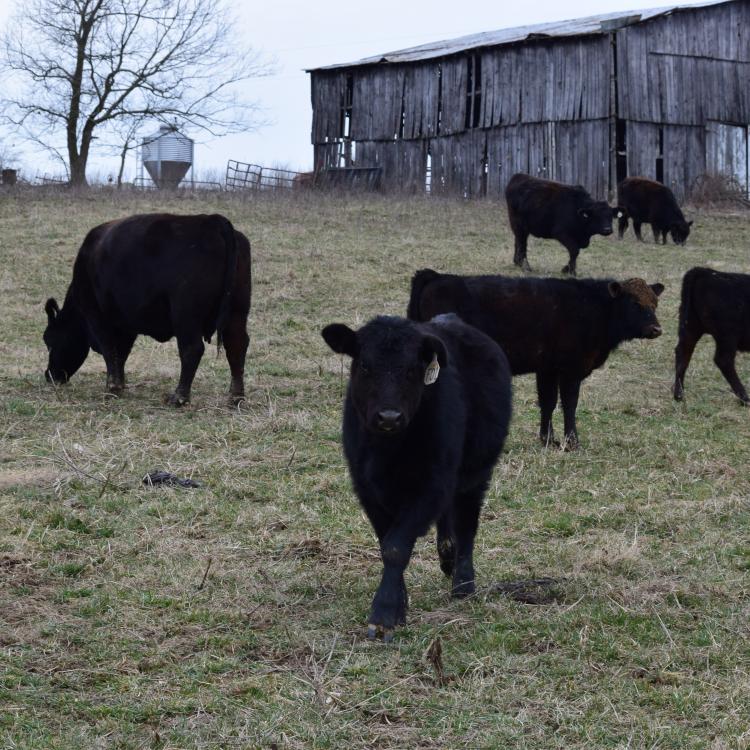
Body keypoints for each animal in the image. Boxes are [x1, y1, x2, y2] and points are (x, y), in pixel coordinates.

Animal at [44, 213, 253, 406]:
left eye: (49, 340)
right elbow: (121, 353)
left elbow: (109, 349)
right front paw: (120, 384)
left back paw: (179, 397)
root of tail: (211, 220)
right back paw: (235, 397)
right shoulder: (126, 324)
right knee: (236, 346)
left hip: (186, 315)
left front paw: (112, 388)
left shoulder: (97, 316)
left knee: (192, 349)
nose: (49, 375)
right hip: (237, 310)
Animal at [320, 316, 516, 640]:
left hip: (476, 471)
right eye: (365, 366)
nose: (389, 417)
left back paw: (463, 583)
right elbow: (386, 543)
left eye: (412, 369)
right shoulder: (367, 490)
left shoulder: (430, 485)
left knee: (466, 523)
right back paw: (448, 557)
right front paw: (400, 605)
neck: (387, 451)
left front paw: (384, 614)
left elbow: (396, 547)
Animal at [408, 270, 668, 450]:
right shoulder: (570, 370)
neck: (595, 308)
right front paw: (572, 442)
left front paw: (548, 439)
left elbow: (548, 402)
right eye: (635, 303)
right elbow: (569, 404)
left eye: (654, 303)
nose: (656, 329)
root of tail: (437, 277)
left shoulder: (547, 369)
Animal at [676, 266, 750, 402]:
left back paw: (679, 395)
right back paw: (745, 398)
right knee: (723, 360)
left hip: (690, 327)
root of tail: (706, 272)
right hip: (727, 336)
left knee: (683, 353)